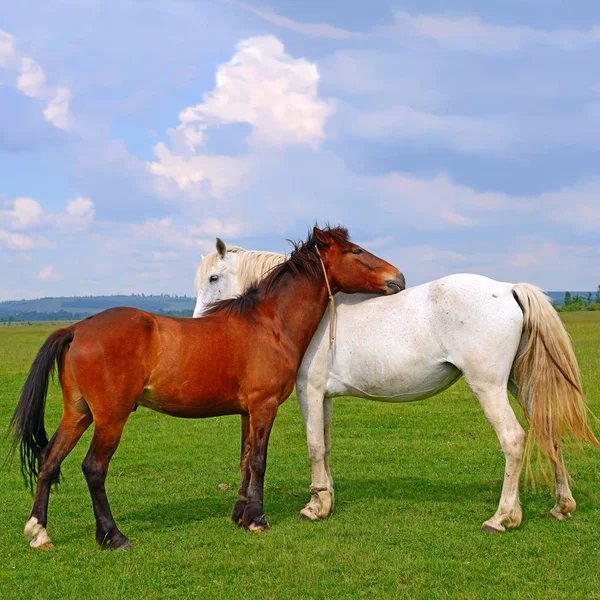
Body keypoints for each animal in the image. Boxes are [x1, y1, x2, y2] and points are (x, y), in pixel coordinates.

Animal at [10, 227, 404, 552]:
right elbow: (259, 461)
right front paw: (258, 520)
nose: (397, 277)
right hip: (110, 418)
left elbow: (246, 460)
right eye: (356, 251)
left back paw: (39, 532)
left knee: (49, 459)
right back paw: (114, 536)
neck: (268, 324)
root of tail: (78, 328)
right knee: (93, 468)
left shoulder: (247, 411)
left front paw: (242, 515)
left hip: (78, 413)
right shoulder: (264, 406)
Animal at [195, 238, 596, 528]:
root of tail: (509, 288)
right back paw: (562, 505)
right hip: (518, 384)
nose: (200, 324)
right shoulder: (325, 397)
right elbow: (325, 445)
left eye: (213, 279)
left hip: (489, 387)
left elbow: (313, 447)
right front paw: (325, 500)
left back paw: (502, 518)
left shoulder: (308, 391)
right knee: (549, 430)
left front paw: (314, 506)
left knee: (513, 440)